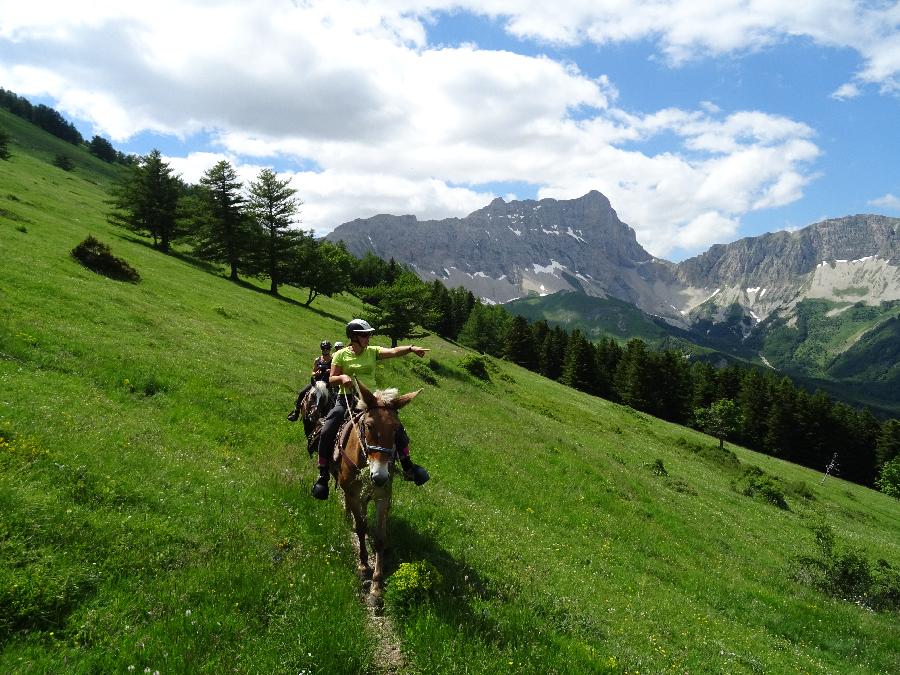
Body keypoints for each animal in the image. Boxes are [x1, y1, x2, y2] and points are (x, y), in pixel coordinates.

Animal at [334, 380, 422, 608]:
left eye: (397, 430)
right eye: (369, 425)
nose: (379, 476)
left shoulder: (383, 497)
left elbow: (381, 537)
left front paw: (376, 586)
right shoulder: (353, 494)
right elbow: (361, 527)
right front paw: (364, 565)